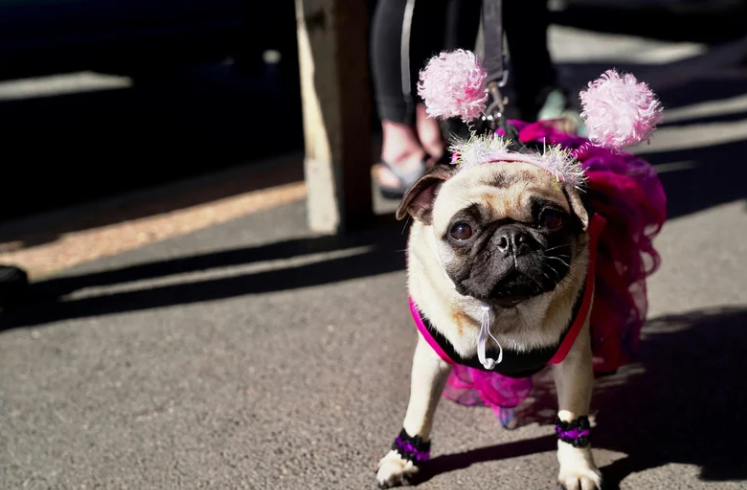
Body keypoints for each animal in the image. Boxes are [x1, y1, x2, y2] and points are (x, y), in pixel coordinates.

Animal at [376, 160, 604, 486]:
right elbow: (419, 411)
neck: (506, 313)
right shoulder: (430, 361)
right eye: (461, 230)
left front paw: (578, 468)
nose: (511, 238)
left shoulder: (574, 361)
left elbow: (572, 417)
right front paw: (403, 459)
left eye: (551, 219)